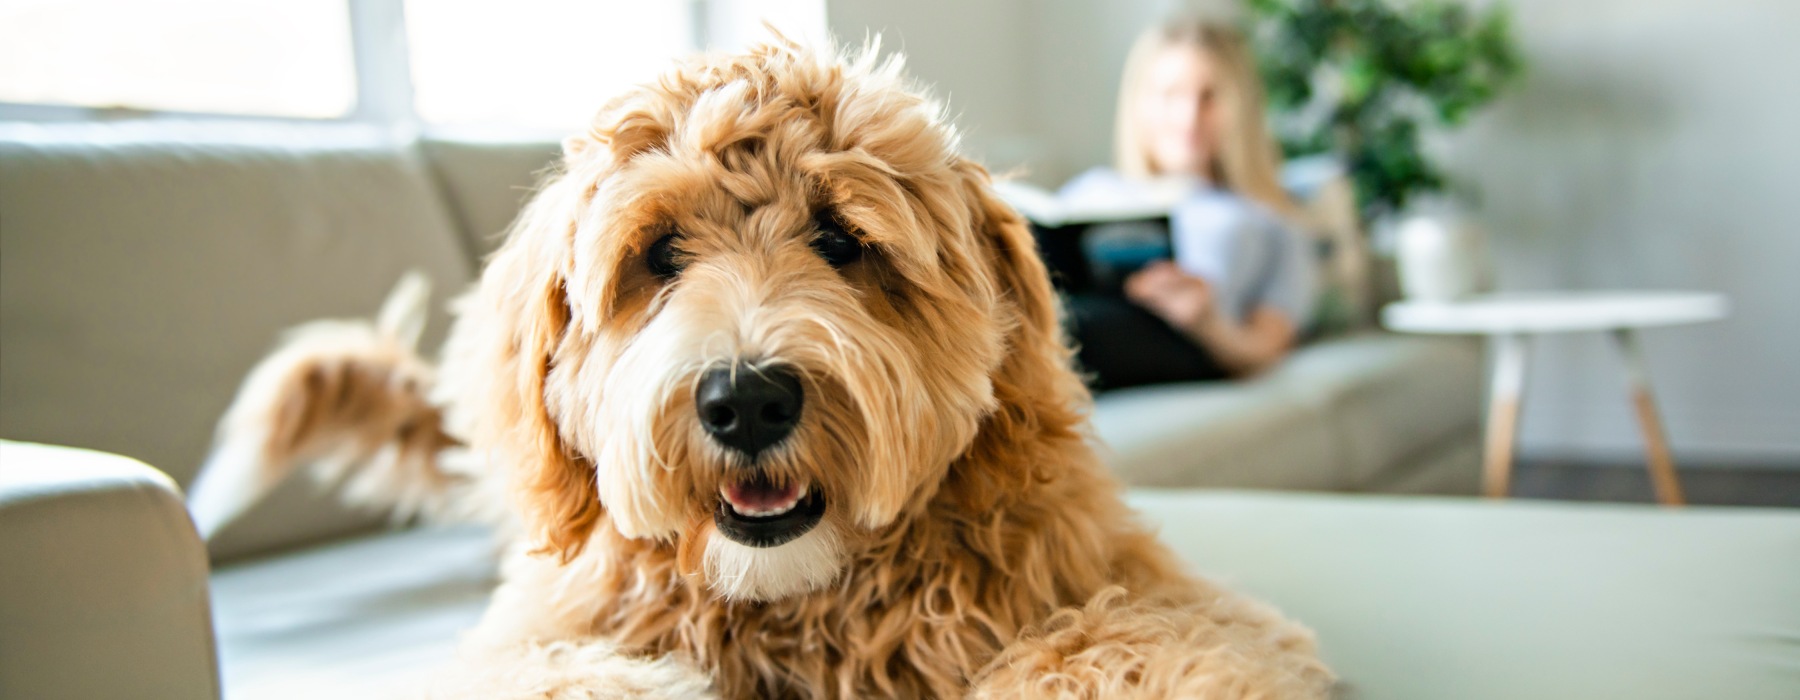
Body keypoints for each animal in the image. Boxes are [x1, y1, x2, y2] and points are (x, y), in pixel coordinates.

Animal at [189, 39, 1332, 698]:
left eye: (840, 241)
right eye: (659, 255)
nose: (745, 400)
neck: (799, 604)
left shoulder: (1138, 594)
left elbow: (1125, 652)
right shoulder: (543, 631)